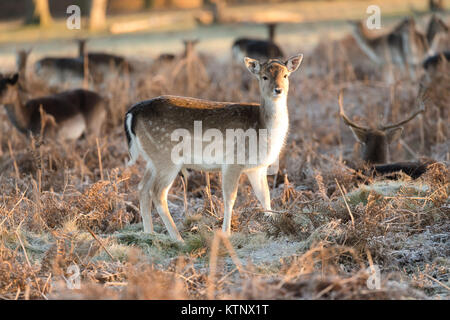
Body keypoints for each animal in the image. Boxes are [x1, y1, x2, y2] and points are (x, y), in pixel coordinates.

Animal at [125, 54, 304, 240]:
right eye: (264, 76)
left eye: (285, 75)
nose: (278, 90)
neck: (263, 128)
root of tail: (132, 112)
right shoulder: (233, 161)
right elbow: (230, 197)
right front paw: (226, 233)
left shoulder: (257, 168)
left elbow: (265, 196)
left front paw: (277, 225)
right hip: (166, 157)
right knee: (157, 192)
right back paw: (178, 238)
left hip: (152, 159)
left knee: (142, 188)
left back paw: (149, 234)